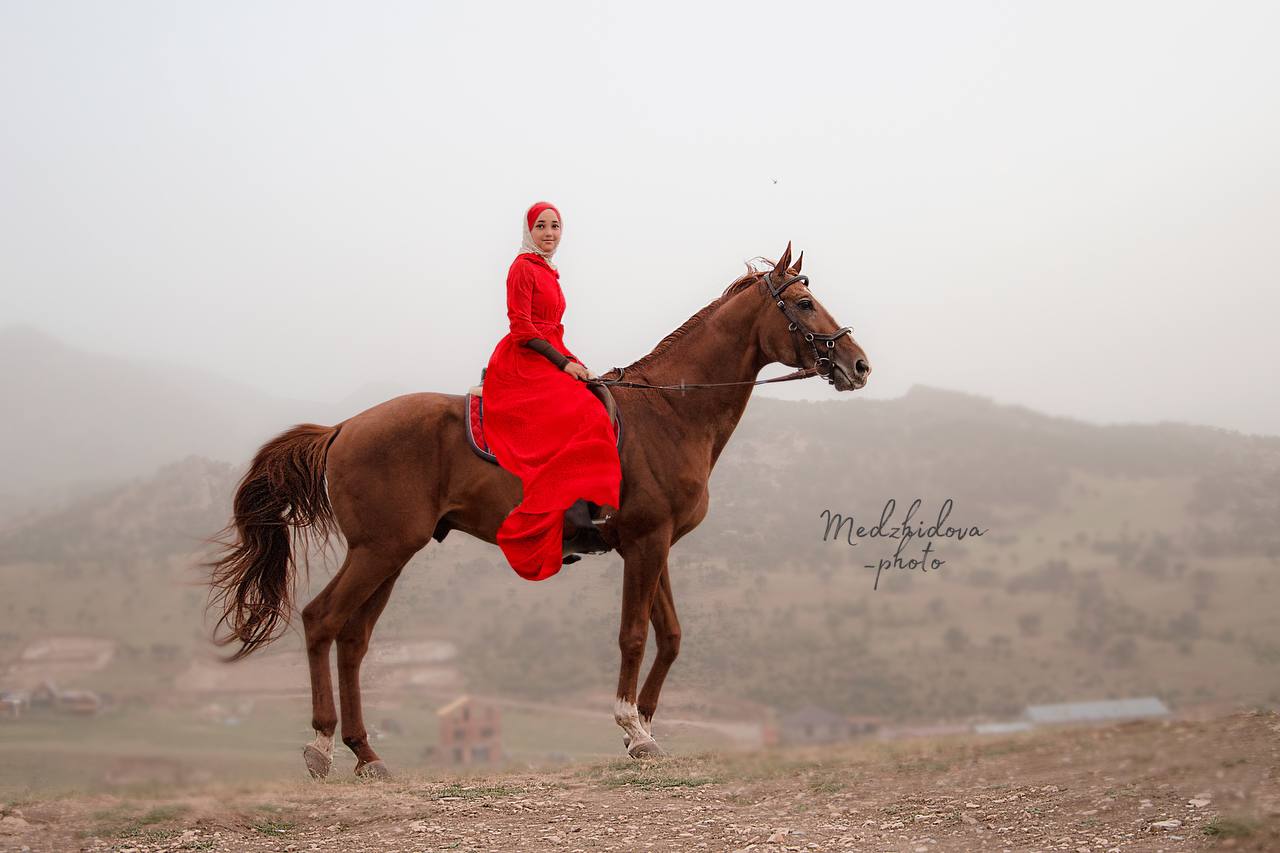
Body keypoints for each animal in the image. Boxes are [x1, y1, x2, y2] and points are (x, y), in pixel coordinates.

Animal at [207, 242, 870, 773]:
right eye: (804, 304)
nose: (858, 364)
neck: (670, 411)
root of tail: (344, 428)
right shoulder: (645, 543)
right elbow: (634, 635)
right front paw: (632, 729)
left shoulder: (652, 545)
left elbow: (672, 636)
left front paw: (644, 724)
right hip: (379, 551)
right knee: (322, 621)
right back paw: (321, 746)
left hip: (389, 555)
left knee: (352, 640)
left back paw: (365, 752)